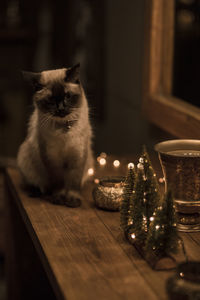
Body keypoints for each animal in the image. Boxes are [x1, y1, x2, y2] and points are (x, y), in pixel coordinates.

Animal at [17, 64, 94, 207]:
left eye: (67, 96)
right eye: (51, 100)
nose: (61, 109)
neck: (64, 128)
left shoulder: (77, 156)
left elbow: (74, 182)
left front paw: (72, 200)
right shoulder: (52, 158)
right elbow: (58, 182)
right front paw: (59, 198)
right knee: (38, 184)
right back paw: (40, 192)